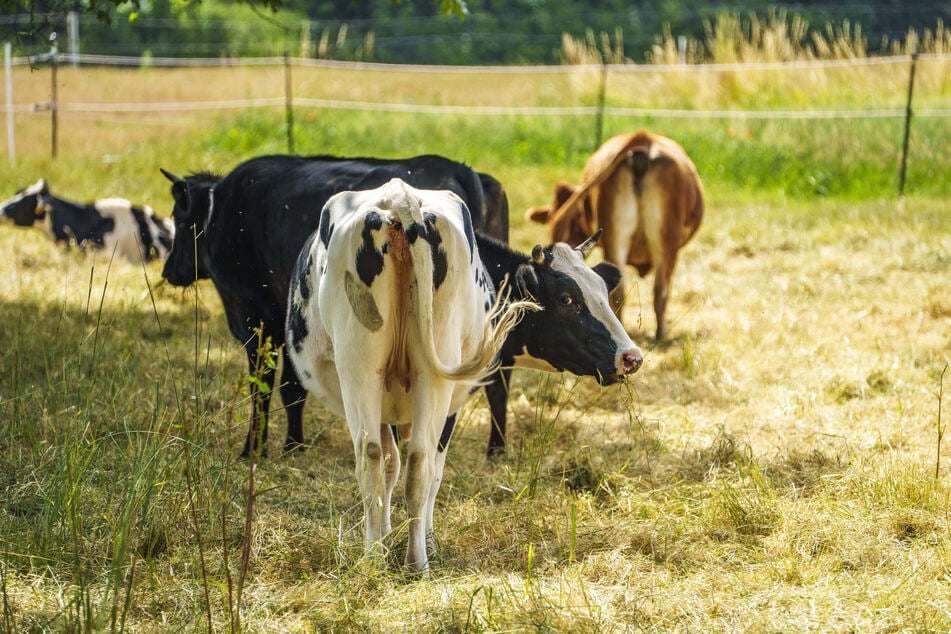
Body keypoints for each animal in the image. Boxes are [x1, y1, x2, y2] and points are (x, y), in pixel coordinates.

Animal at [160, 154, 510, 459]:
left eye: (178, 216)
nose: (168, 271)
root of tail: (460, 170)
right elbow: (293, 388)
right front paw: (294, 445)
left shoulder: (256, 319)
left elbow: (263, 387)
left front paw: (255, 449)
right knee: (494, 382)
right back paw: (494, 448)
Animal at [286, 178, 641, 575]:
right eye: (567, 299)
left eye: (603, 293)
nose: (631, 357)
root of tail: (400, 200)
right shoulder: (450, 402)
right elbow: (426, 473)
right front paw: (422, 540)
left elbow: (391, 466)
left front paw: (388, 537)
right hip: (430, 381)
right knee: (420, 465)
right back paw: (417, 562)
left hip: (364, 373)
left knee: (376, 459)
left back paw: (376, 559)